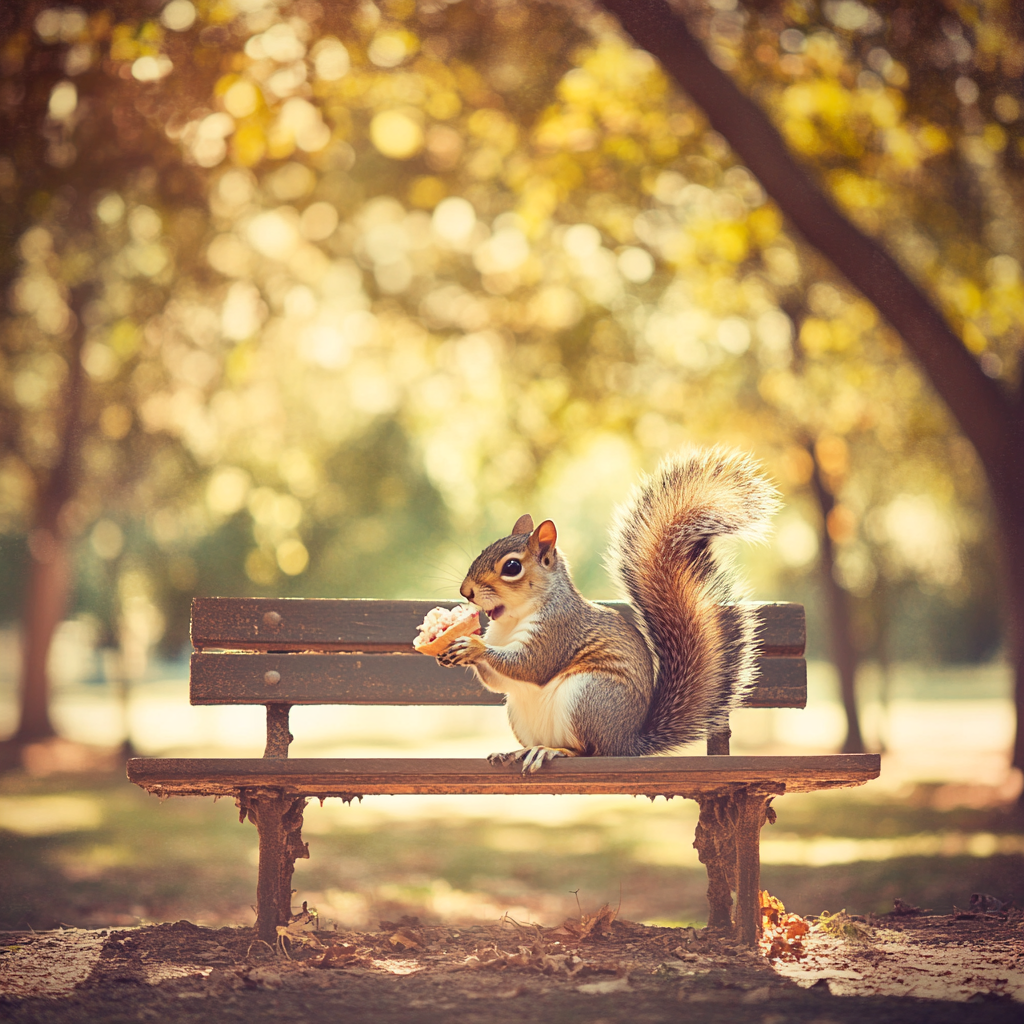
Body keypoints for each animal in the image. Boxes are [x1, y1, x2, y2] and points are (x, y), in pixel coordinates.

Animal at [436, 444, 778, 770]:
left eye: (511, 567)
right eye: (485, 549)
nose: (465, 591)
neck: (514, 617)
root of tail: (626, 743)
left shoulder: (559, 629)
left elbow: (532, 665)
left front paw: (473, 647)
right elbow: (498, 681)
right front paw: (453, 649)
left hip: (589, 697)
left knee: (588, 750)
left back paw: (553, 752)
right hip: (523, 712)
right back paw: (516, 752)